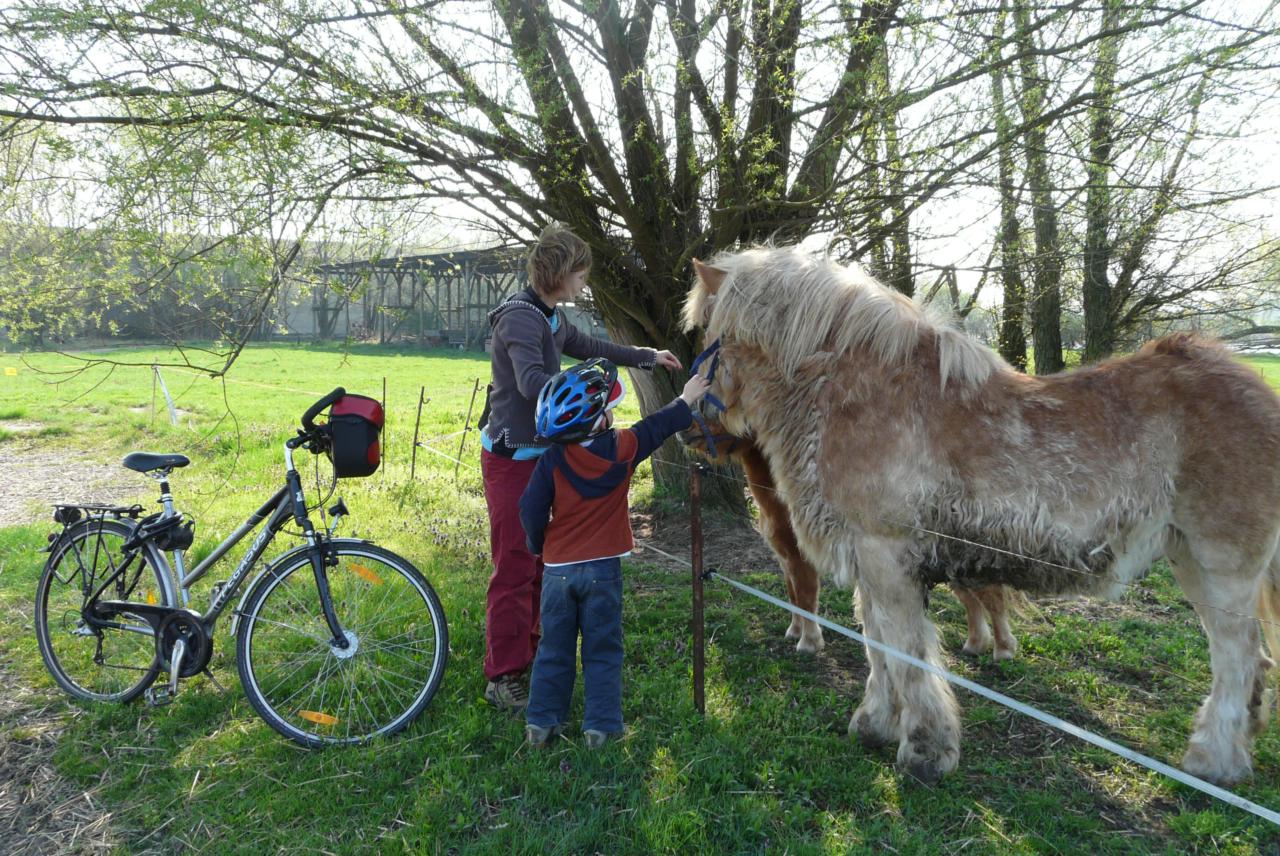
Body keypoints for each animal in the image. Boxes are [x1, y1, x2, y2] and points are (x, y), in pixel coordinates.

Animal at [680, 424, 1018, 660]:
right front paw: (794, 632)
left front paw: (809, 643)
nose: (685, 433)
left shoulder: (801, 561)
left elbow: (806, 599)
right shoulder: (785, 560)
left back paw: (1002, 650)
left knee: (992, 599)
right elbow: (792, 596)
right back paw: (973, 645)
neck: (782, 500)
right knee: (972, 602)